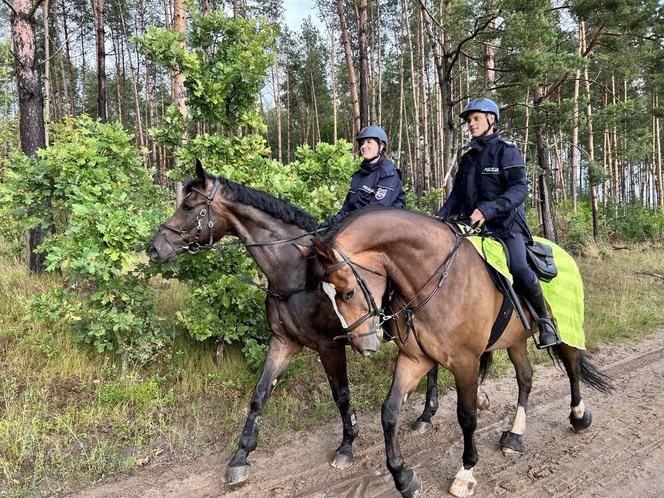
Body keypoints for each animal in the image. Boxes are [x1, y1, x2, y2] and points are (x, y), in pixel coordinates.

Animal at [148, 162, 444, 486]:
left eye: (188, 206)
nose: (154, 249)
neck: (296, 274)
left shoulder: (329, 347)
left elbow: (341, 395)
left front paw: (346, 445)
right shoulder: (283, 342)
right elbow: (259, 394)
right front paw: (240, 457)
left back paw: (427, 415)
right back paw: (426, 416)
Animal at [306, 206, 612, 498]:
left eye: (347, 292)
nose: (363, 346)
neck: (436, 281)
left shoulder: (466, 362)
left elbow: (466, 416)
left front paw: (465, 473)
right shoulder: (415, 359)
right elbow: (389, 412)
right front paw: (404, 478)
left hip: (566, 330)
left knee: (572, 368)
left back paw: (579, 417)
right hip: (515, 340)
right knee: (525, 378)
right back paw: (514, 437)